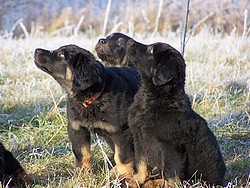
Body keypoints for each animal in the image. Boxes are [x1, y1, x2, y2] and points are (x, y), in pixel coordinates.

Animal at [33, 44, 141, 178]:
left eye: (61, 55)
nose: (36, 50)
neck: (90, 99)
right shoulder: (76, 128)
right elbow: (82, 153)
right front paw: (83, 174)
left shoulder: (121, 131)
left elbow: (122, 156)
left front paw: (123, 175)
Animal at [126, 39, 226, 187]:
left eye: (151, 50)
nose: (129, 41)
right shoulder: (139, 138)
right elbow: (141, 162)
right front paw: (136, 181)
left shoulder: (172, 146)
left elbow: (172, 173)